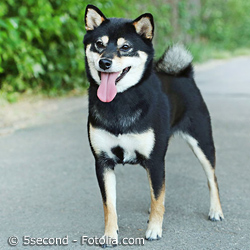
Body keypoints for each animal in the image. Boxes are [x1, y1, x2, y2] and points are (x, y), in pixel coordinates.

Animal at [83, 4, 224, 247]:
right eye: (99, 44)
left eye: (125, 47)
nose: (104, 62)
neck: (120, 102)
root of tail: (183, 74)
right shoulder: (103, 162)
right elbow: (109, 205)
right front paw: (110, 235)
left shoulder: (156, 160)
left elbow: (158, 197)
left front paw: (154, 230)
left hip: (202, 143)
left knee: (211, 178)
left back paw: (216, 210)